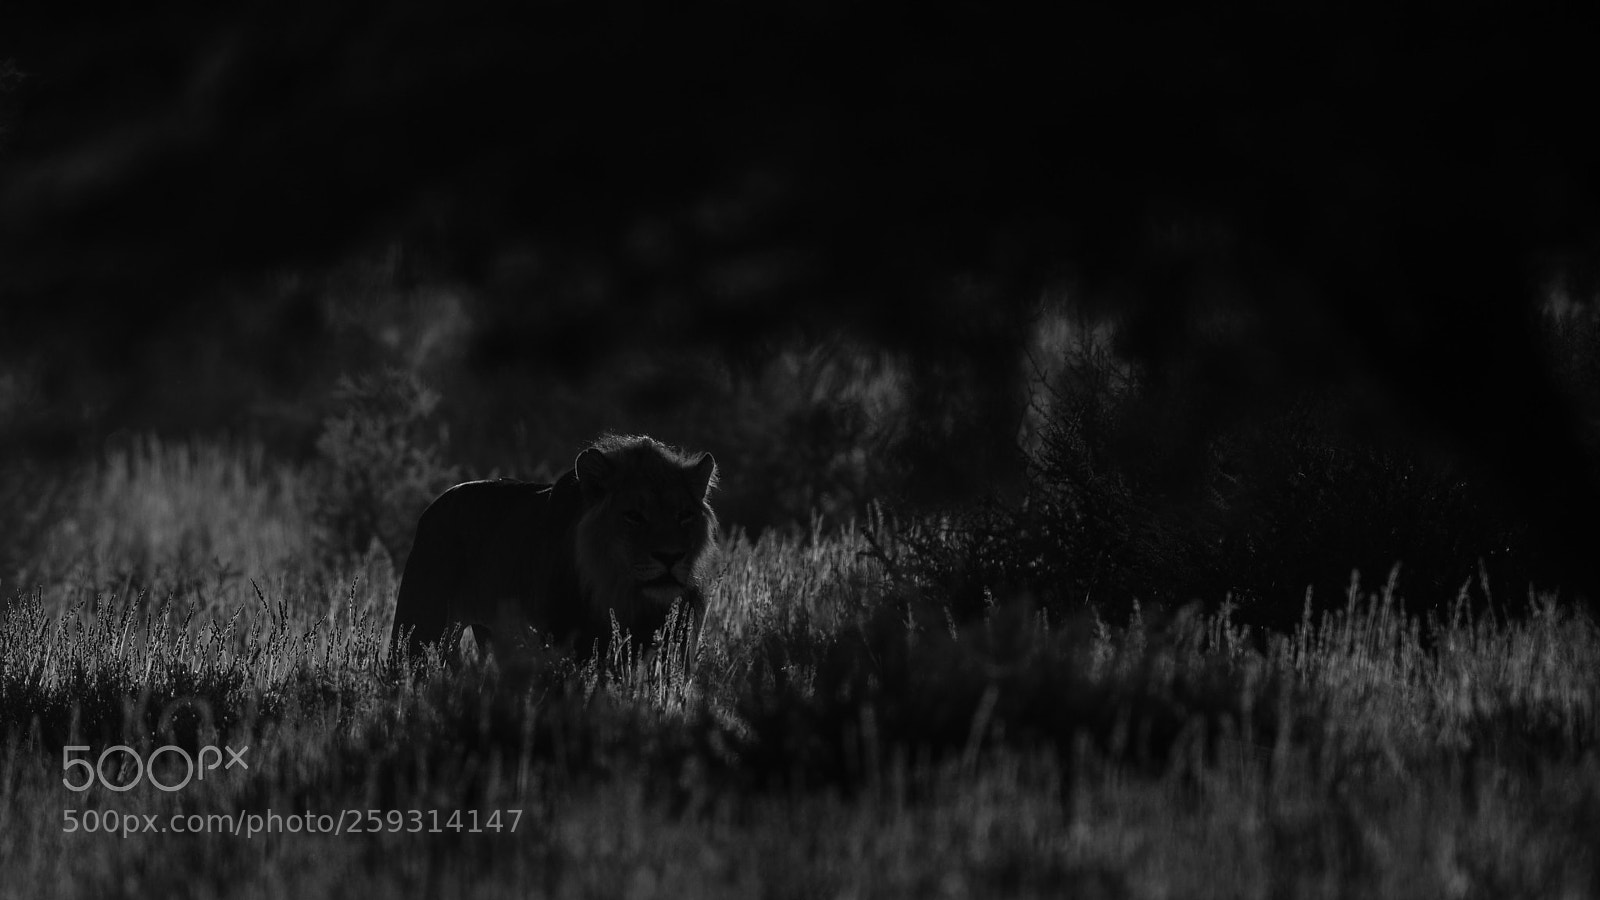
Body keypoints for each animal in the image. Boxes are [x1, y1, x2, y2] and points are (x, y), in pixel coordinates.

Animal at [388, 434, 719, 665]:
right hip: (419, 630)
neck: (624, 596)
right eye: (634, 516)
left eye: (684, 515)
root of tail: (436, 502)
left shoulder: (673, 649)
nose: (670, 556)